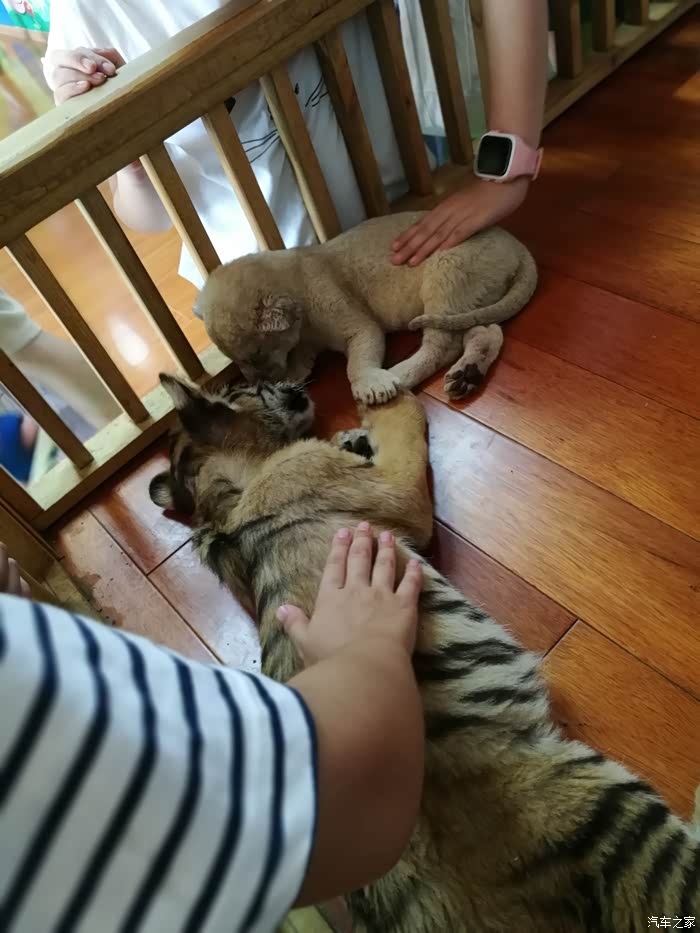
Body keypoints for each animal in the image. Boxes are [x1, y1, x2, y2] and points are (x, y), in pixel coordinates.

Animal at [196, 211, 537, 404]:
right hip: (471, 296)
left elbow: (357, 362)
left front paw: (370, 385)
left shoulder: (357, 323)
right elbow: (301, 362)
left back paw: (400, 375)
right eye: (239, 361)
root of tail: (517, 246)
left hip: (447, 274)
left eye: (255, 353)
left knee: (442, 346)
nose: (258, 383)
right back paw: (467, 375)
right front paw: (287, 380)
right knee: (486, 330)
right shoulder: (305, 344)